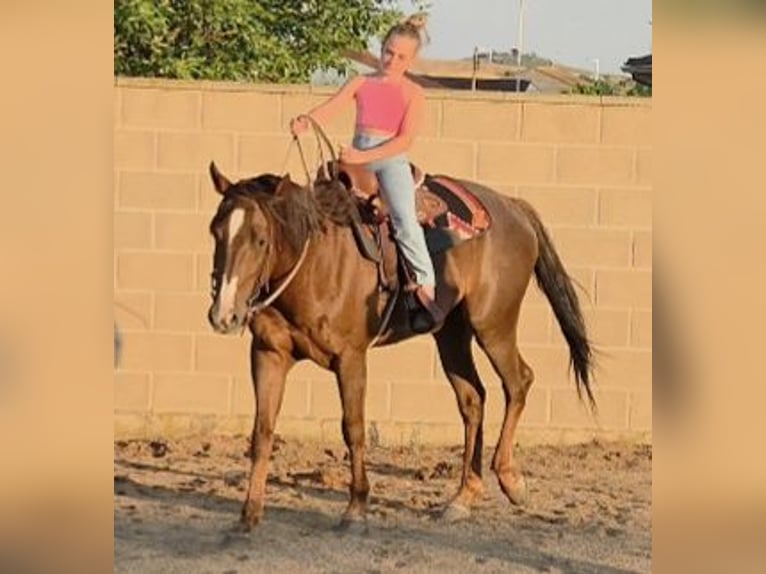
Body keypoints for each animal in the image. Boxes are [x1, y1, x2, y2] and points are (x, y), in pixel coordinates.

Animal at [206, 153, 594, 530]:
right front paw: (249, 514)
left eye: (260, 239)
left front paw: (356, 508)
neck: (315, 262)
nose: (224, 314)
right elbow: (262, 432)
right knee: (473, 400)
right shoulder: (268, 354)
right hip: (451, 332)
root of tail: (513, 207)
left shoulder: (351, 358)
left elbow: (353, 428)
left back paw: (511, 480)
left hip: (493, 325)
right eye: (215, 232)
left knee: (518, 382)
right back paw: (463, 497)